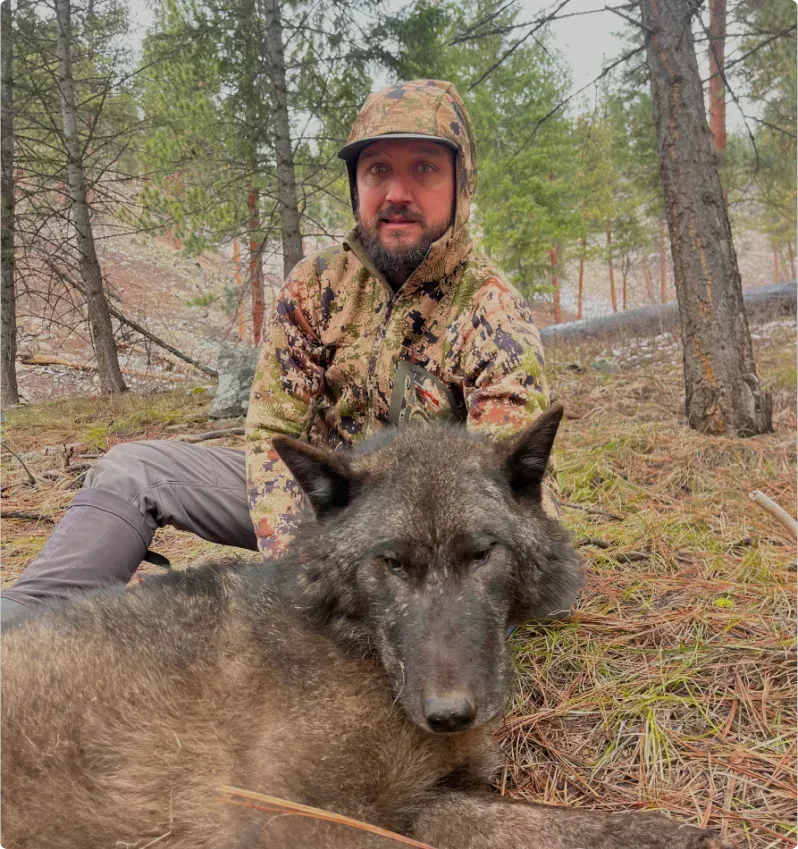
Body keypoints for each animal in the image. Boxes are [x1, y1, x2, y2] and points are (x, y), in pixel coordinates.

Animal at [1, 406, 732, 848]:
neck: (358, 657)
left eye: (481, 553)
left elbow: (543, 821)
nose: (449, 715)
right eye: (393, 562)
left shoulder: (430, 797)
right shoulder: (299, 820)